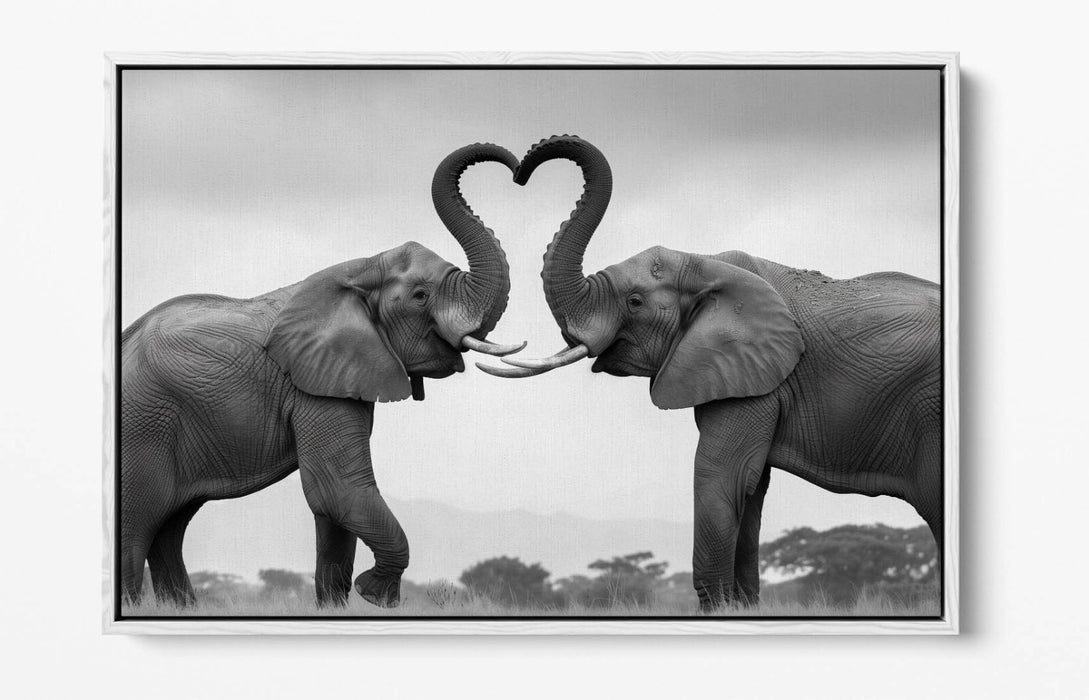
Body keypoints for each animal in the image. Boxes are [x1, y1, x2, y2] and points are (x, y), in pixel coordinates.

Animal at [121, 143, 525, 608]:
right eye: (421, 296)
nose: (516, 167)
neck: (359, 268)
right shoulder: (314, 386)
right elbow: (337, 489)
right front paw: (376, 593)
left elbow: (333, 505)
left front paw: (342, 601)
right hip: (143, 426)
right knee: (138, 526)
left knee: (169, 527)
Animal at [479, 135, 942, 611]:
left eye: (635, 302)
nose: (520, 171)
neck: (705, 262)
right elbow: (750, 490)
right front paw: (743, 608)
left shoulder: (755, 378)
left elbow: (720, 477)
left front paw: (719, 610)